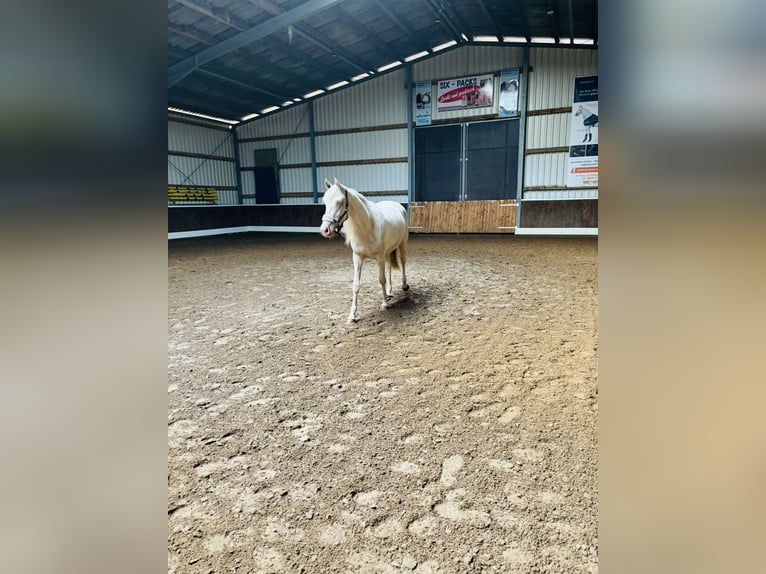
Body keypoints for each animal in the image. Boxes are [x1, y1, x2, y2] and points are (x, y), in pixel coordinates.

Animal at [320, 179, 412, 324]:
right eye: (325, 201)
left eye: (339, 202)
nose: (325, 230)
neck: (368, 226)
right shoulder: (358, 258)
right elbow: (356, 285)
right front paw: (352, 315)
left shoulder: (379, 258)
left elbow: (381, 279)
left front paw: (385, 304)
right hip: (387, 252)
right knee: (389, 267)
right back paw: (389, 291)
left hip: (402, 244)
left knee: (403, 262)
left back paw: (404, 285)